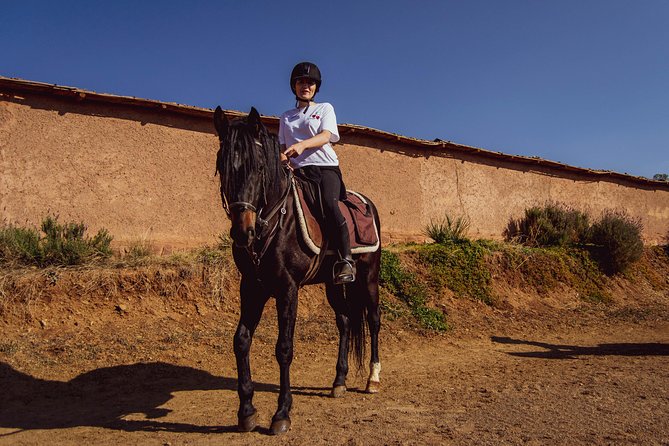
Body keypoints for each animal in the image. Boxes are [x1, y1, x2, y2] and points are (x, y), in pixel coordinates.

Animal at [214, 106, 380, 434]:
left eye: (258, 168)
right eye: (222, 169)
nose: (242, 233)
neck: (275, 219)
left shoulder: (287, 288)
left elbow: (284, 348)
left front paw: (281, 414)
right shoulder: (251, 286)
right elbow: (241, 340)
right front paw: (246, 411)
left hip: (369, 278)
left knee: (375, 320)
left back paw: (373, 379)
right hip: (333, 283)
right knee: (344, 321)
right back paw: (339, 381)